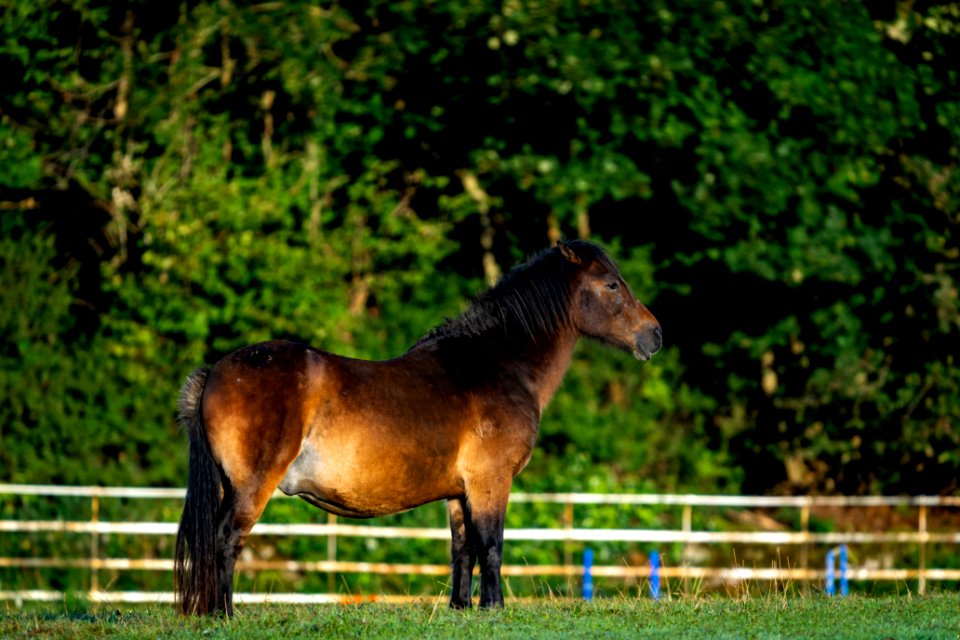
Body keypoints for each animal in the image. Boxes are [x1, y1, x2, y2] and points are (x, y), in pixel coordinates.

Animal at [174, 240, 660, 616]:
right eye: (611, 284)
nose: (654, 335)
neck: (498, 364)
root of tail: (216, 372)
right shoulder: (491, 482)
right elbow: (492, 545)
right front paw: (494, 606)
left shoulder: (459, 492)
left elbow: (463, 549)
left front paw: (463, 607)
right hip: (250, 487)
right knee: (226, 539)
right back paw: (224, 613)